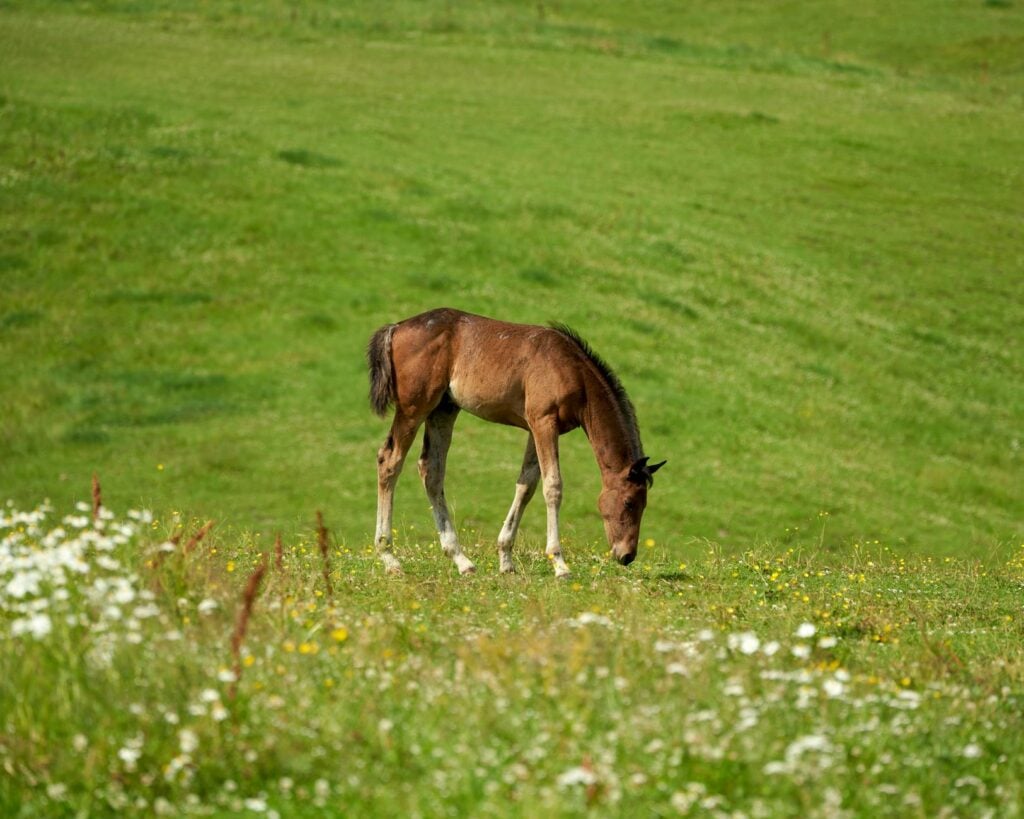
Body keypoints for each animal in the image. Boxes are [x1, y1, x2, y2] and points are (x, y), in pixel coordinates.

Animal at [367, 307, 665, 578]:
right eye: (629, 502)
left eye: (644, 503)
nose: (627, 555)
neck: (571, 369)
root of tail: (396, 327)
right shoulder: (544, 422)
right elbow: (552, 486)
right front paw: (559, 563)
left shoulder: (535, 428)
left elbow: (526, 486)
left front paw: (506, 560)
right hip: (414, 408)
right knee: (389, 460)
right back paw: (390, 558)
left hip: (444, 410)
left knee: (431, 471)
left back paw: (461, 560)